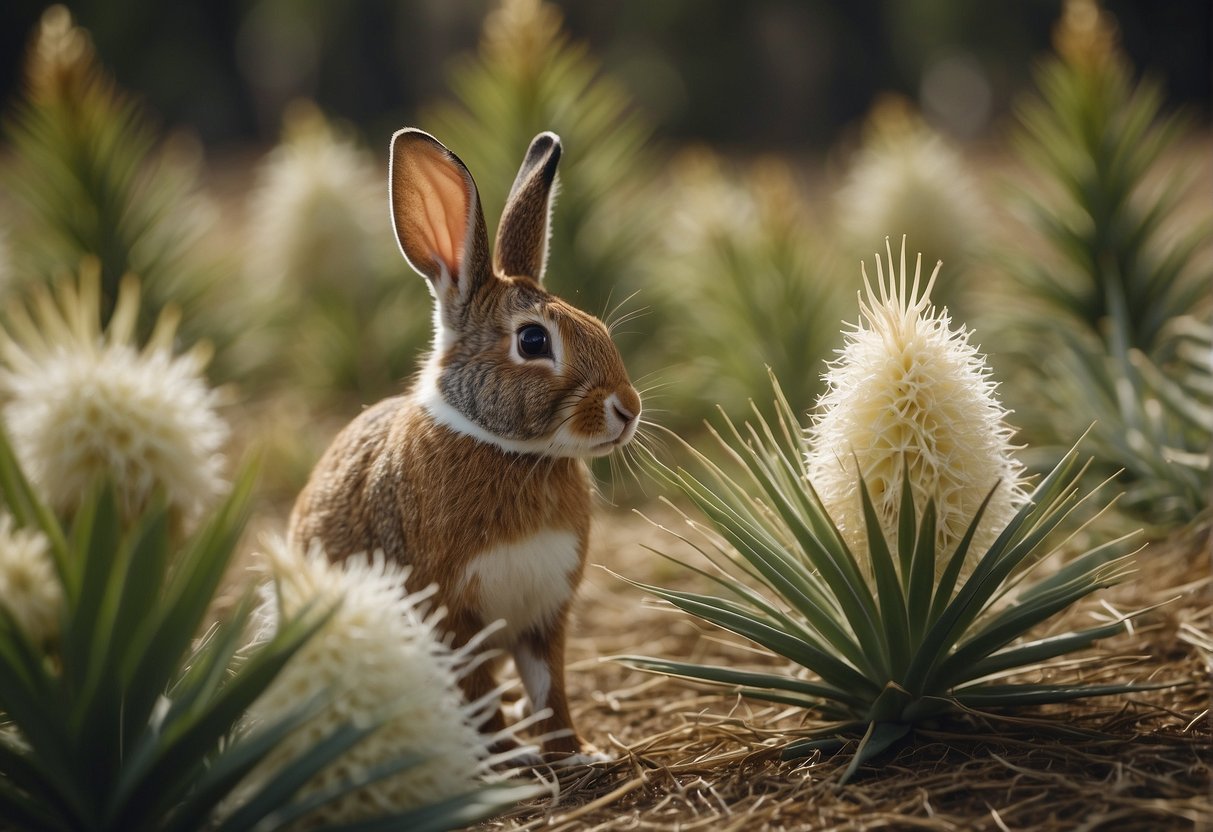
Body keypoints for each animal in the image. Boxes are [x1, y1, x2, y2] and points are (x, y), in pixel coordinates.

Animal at [289, 127, 641, 765]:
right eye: (533, 341)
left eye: (599, 327)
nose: (628, 409)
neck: (511, 450)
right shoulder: (453, 614)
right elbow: (478, 693)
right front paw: (508, 758)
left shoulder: (544, 615)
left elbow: (550, 689)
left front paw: (575, 753)